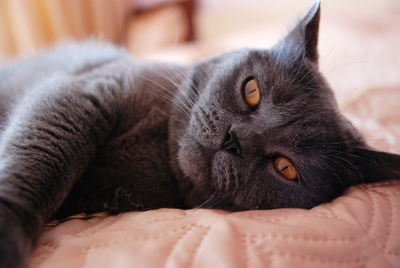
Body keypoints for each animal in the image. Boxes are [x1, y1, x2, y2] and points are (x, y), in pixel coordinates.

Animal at [0, 2, 400, 268]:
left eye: (285, 167)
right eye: (252, 91)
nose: (234, 140)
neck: (155, 152)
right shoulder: (87, 90)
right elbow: (44, 156)